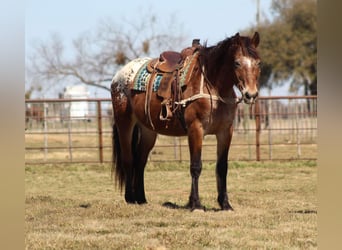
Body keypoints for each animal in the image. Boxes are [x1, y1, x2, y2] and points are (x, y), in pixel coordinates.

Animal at [111, 31, 260, 211]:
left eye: (258, 62)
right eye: (237, 63)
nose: (251, 94)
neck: (214, 87)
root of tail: (118, 76)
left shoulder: (226, 131)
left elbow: (222, 167)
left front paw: (225, 204)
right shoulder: (196, 129)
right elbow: (196, 166)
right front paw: (196, 204)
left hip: (148, 130)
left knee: (140, 161)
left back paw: (141, 198)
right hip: (124, 123)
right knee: (128, 159)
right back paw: (130, 198)